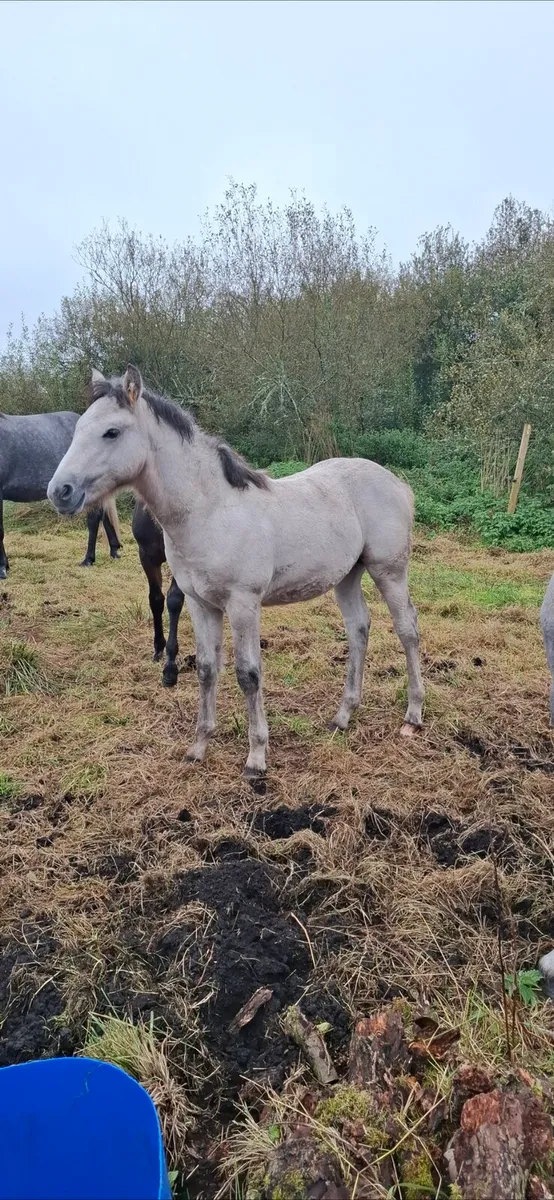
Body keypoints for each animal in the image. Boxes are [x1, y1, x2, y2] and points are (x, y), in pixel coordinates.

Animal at [48, 366, 425, 778]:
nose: (59, 491)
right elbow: (207, 668)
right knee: (358, 629)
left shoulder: (244, 604)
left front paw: (256, 758)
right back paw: (343, 716)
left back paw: (413, 715)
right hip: (346, 576)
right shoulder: (199, 603)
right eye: (79, 428)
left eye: (111, 432)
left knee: (407, 629)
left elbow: (248, 674)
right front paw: (198, 747)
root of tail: (397, 482)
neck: (210, 512)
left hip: (389, 570)